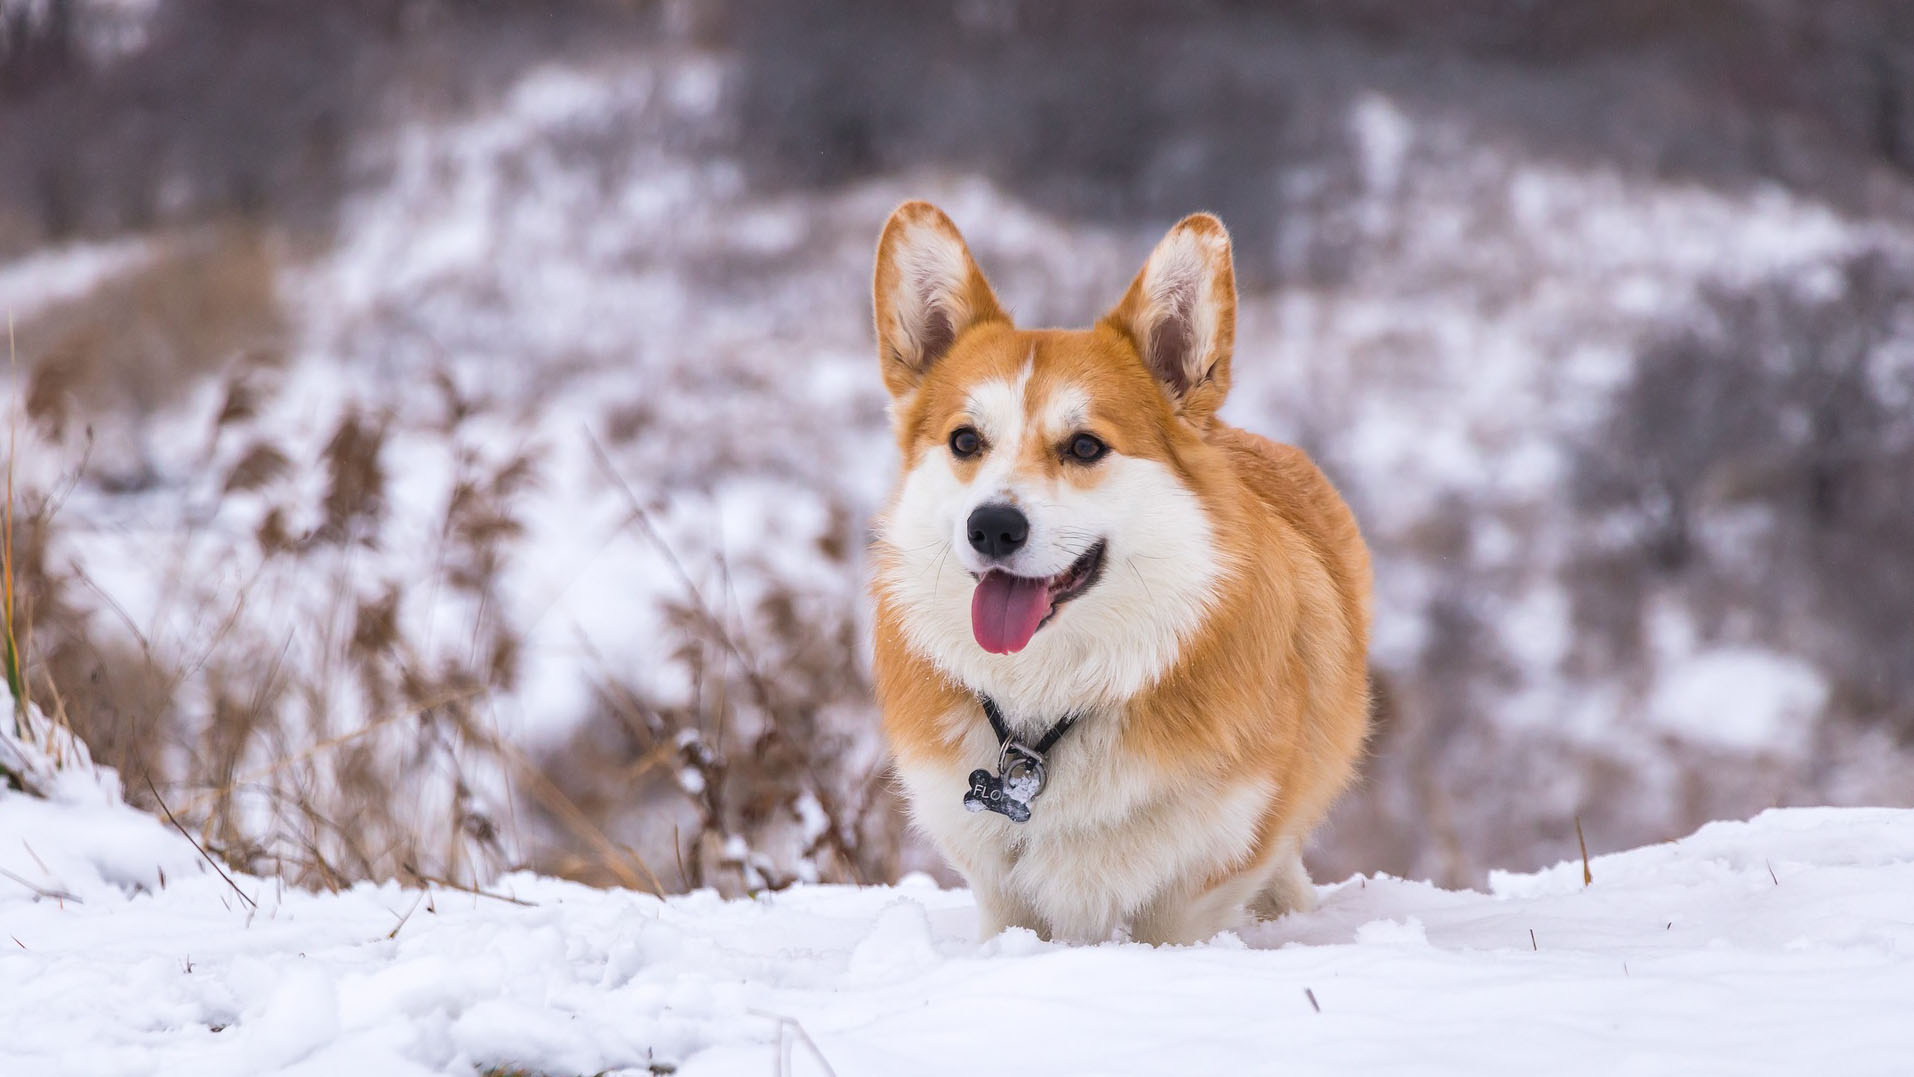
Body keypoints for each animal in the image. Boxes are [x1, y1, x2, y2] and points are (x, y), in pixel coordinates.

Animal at [868, 199, 1378, 945]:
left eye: (1085, 447)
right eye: (965, 441)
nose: (992, 527)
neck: (1050, 705)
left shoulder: (1196, 881)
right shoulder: (1000, 888)